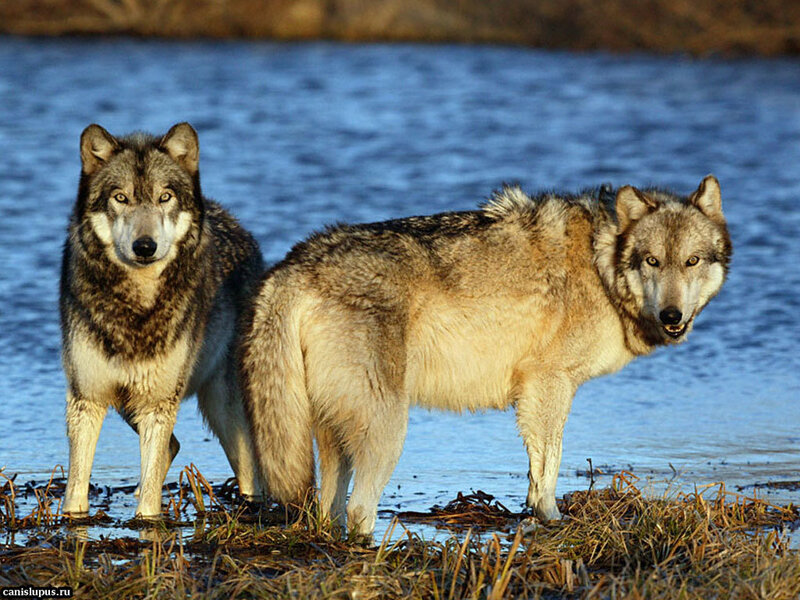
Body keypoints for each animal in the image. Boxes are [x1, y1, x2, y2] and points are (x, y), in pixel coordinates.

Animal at [60, 122, 264, 518]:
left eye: (164, 197)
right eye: (121, 198)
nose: (145, 247)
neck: (136, 308)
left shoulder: (157, 403)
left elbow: (150, 501)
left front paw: (146, 522)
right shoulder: (87, 399)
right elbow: (76, 488)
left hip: (223, 408)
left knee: (249, 469)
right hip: (131, 404)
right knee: (172, 447)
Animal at [239, 175, 731, 535]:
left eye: (691, 261)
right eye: (652, 261)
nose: (672, 316)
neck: (601, 265)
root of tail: (293, 267)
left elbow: (539, 465)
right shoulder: (548, 384)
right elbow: (548, 465)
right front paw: (551, 518)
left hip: (333, 431)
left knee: (329, 509)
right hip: (388, 429)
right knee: (361, 510)